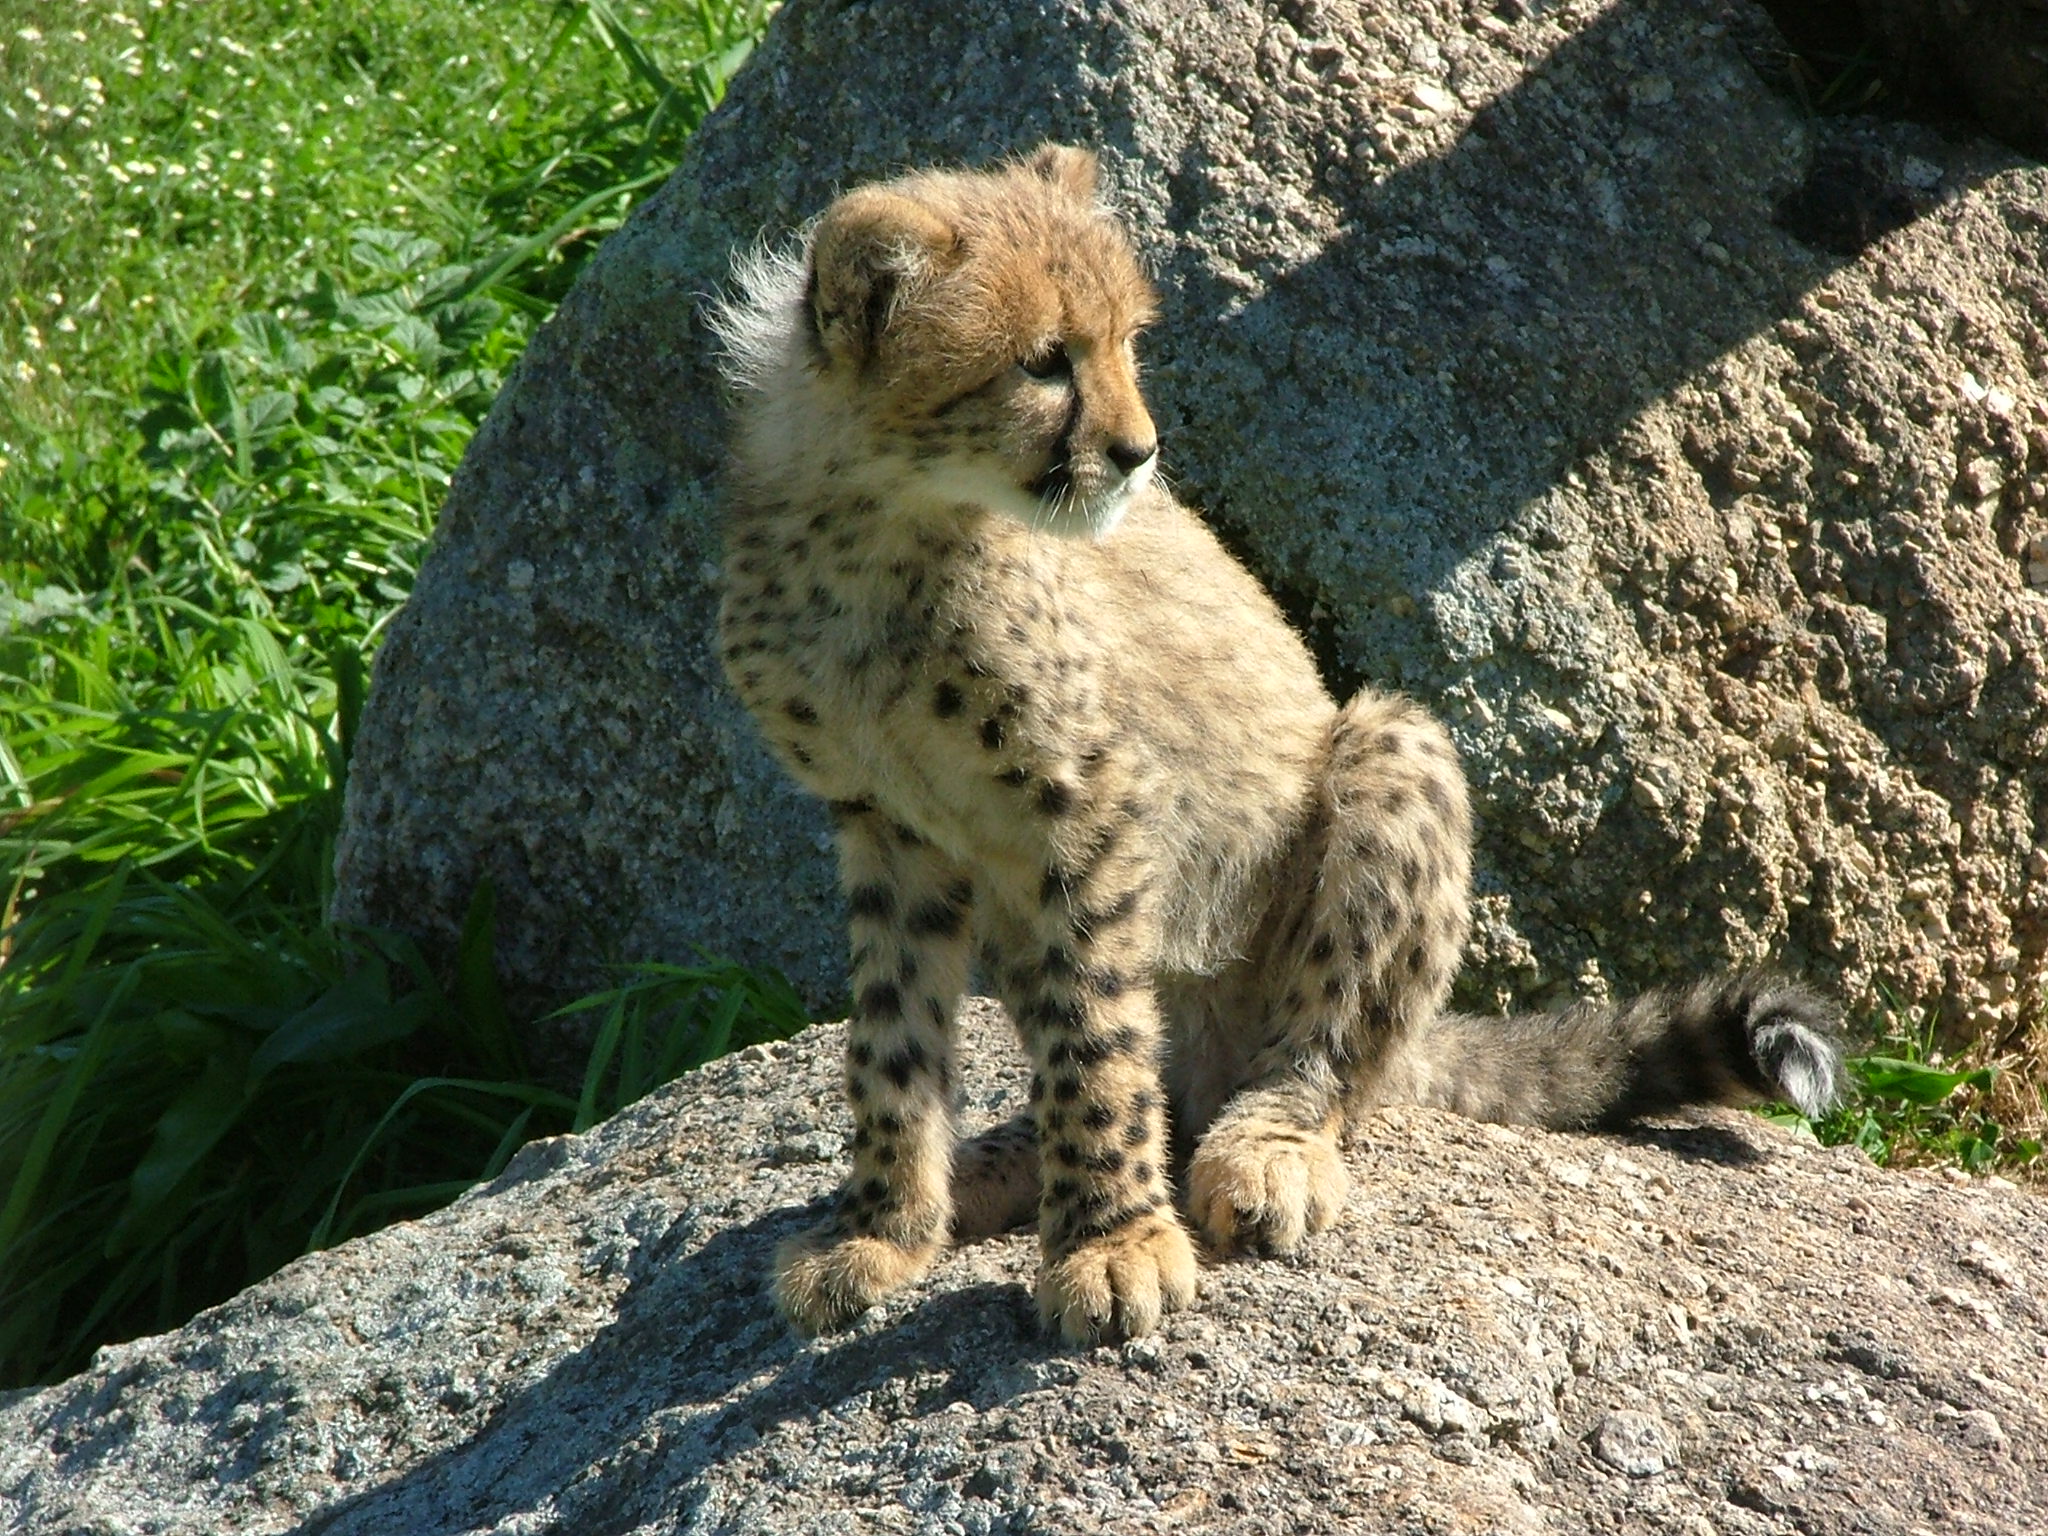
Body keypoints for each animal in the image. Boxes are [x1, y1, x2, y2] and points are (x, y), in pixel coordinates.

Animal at [708, 144, 1842, 1345]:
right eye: (1042, 362)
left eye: (1125, 342)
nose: (1138, 453)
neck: (879, 531)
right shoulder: (890, 828)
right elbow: (893, 1042)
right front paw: (882, 1227)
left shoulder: (1090, 808)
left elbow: (1093, 1044)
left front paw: (1110, 1243)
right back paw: (990, 1166)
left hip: (1385, 752)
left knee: (1312, 1058)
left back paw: (1262, 1151)